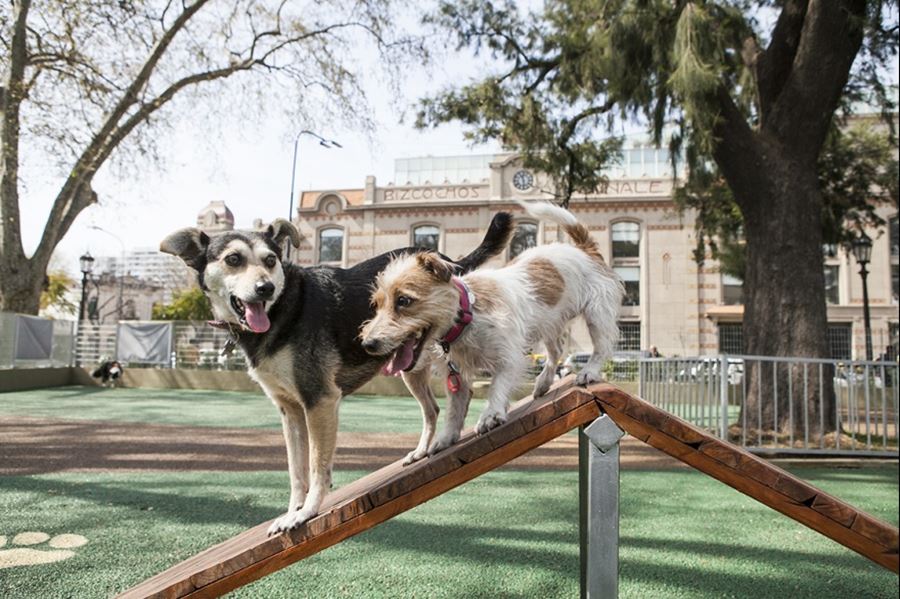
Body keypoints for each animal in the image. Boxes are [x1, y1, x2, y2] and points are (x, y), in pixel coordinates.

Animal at [161, 216, 510, 536]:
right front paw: (292, 511)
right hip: (409, 365)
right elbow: (296, 471)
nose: (266, 288)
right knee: (433, 408)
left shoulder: (319, 401)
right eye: (233, 259)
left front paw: (307, 513)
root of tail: (448, 260)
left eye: (270, 260)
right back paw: (423, 450)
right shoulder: (290, 410)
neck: (284, 308)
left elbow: (317, 467)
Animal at [362, 200, 624, 454]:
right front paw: (446, 438)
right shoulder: (455, 375)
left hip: (596, 313)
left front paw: (490, 415)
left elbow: (496, 386)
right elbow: (454, 410)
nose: (368, 344)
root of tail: (583, 249)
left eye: (404, 300)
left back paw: (588, 372)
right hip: (550, 322)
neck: (467, 316)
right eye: (376, 304)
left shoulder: (508, 357)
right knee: (556, 351)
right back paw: (542, 383)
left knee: (602, 347)